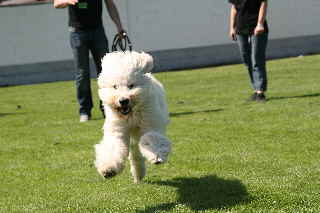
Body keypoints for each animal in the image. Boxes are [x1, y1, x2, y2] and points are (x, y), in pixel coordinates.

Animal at [94, 50, 171, 183]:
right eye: (115, 86)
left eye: (131, 85)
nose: (123, 100)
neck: (131, 114)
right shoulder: (118, 129)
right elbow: (114, 146)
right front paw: (108, 169)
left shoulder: (150, 123)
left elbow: (152, 137)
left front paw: (156, 155)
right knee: (135, 154)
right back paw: (138, 175)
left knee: (137, 153)